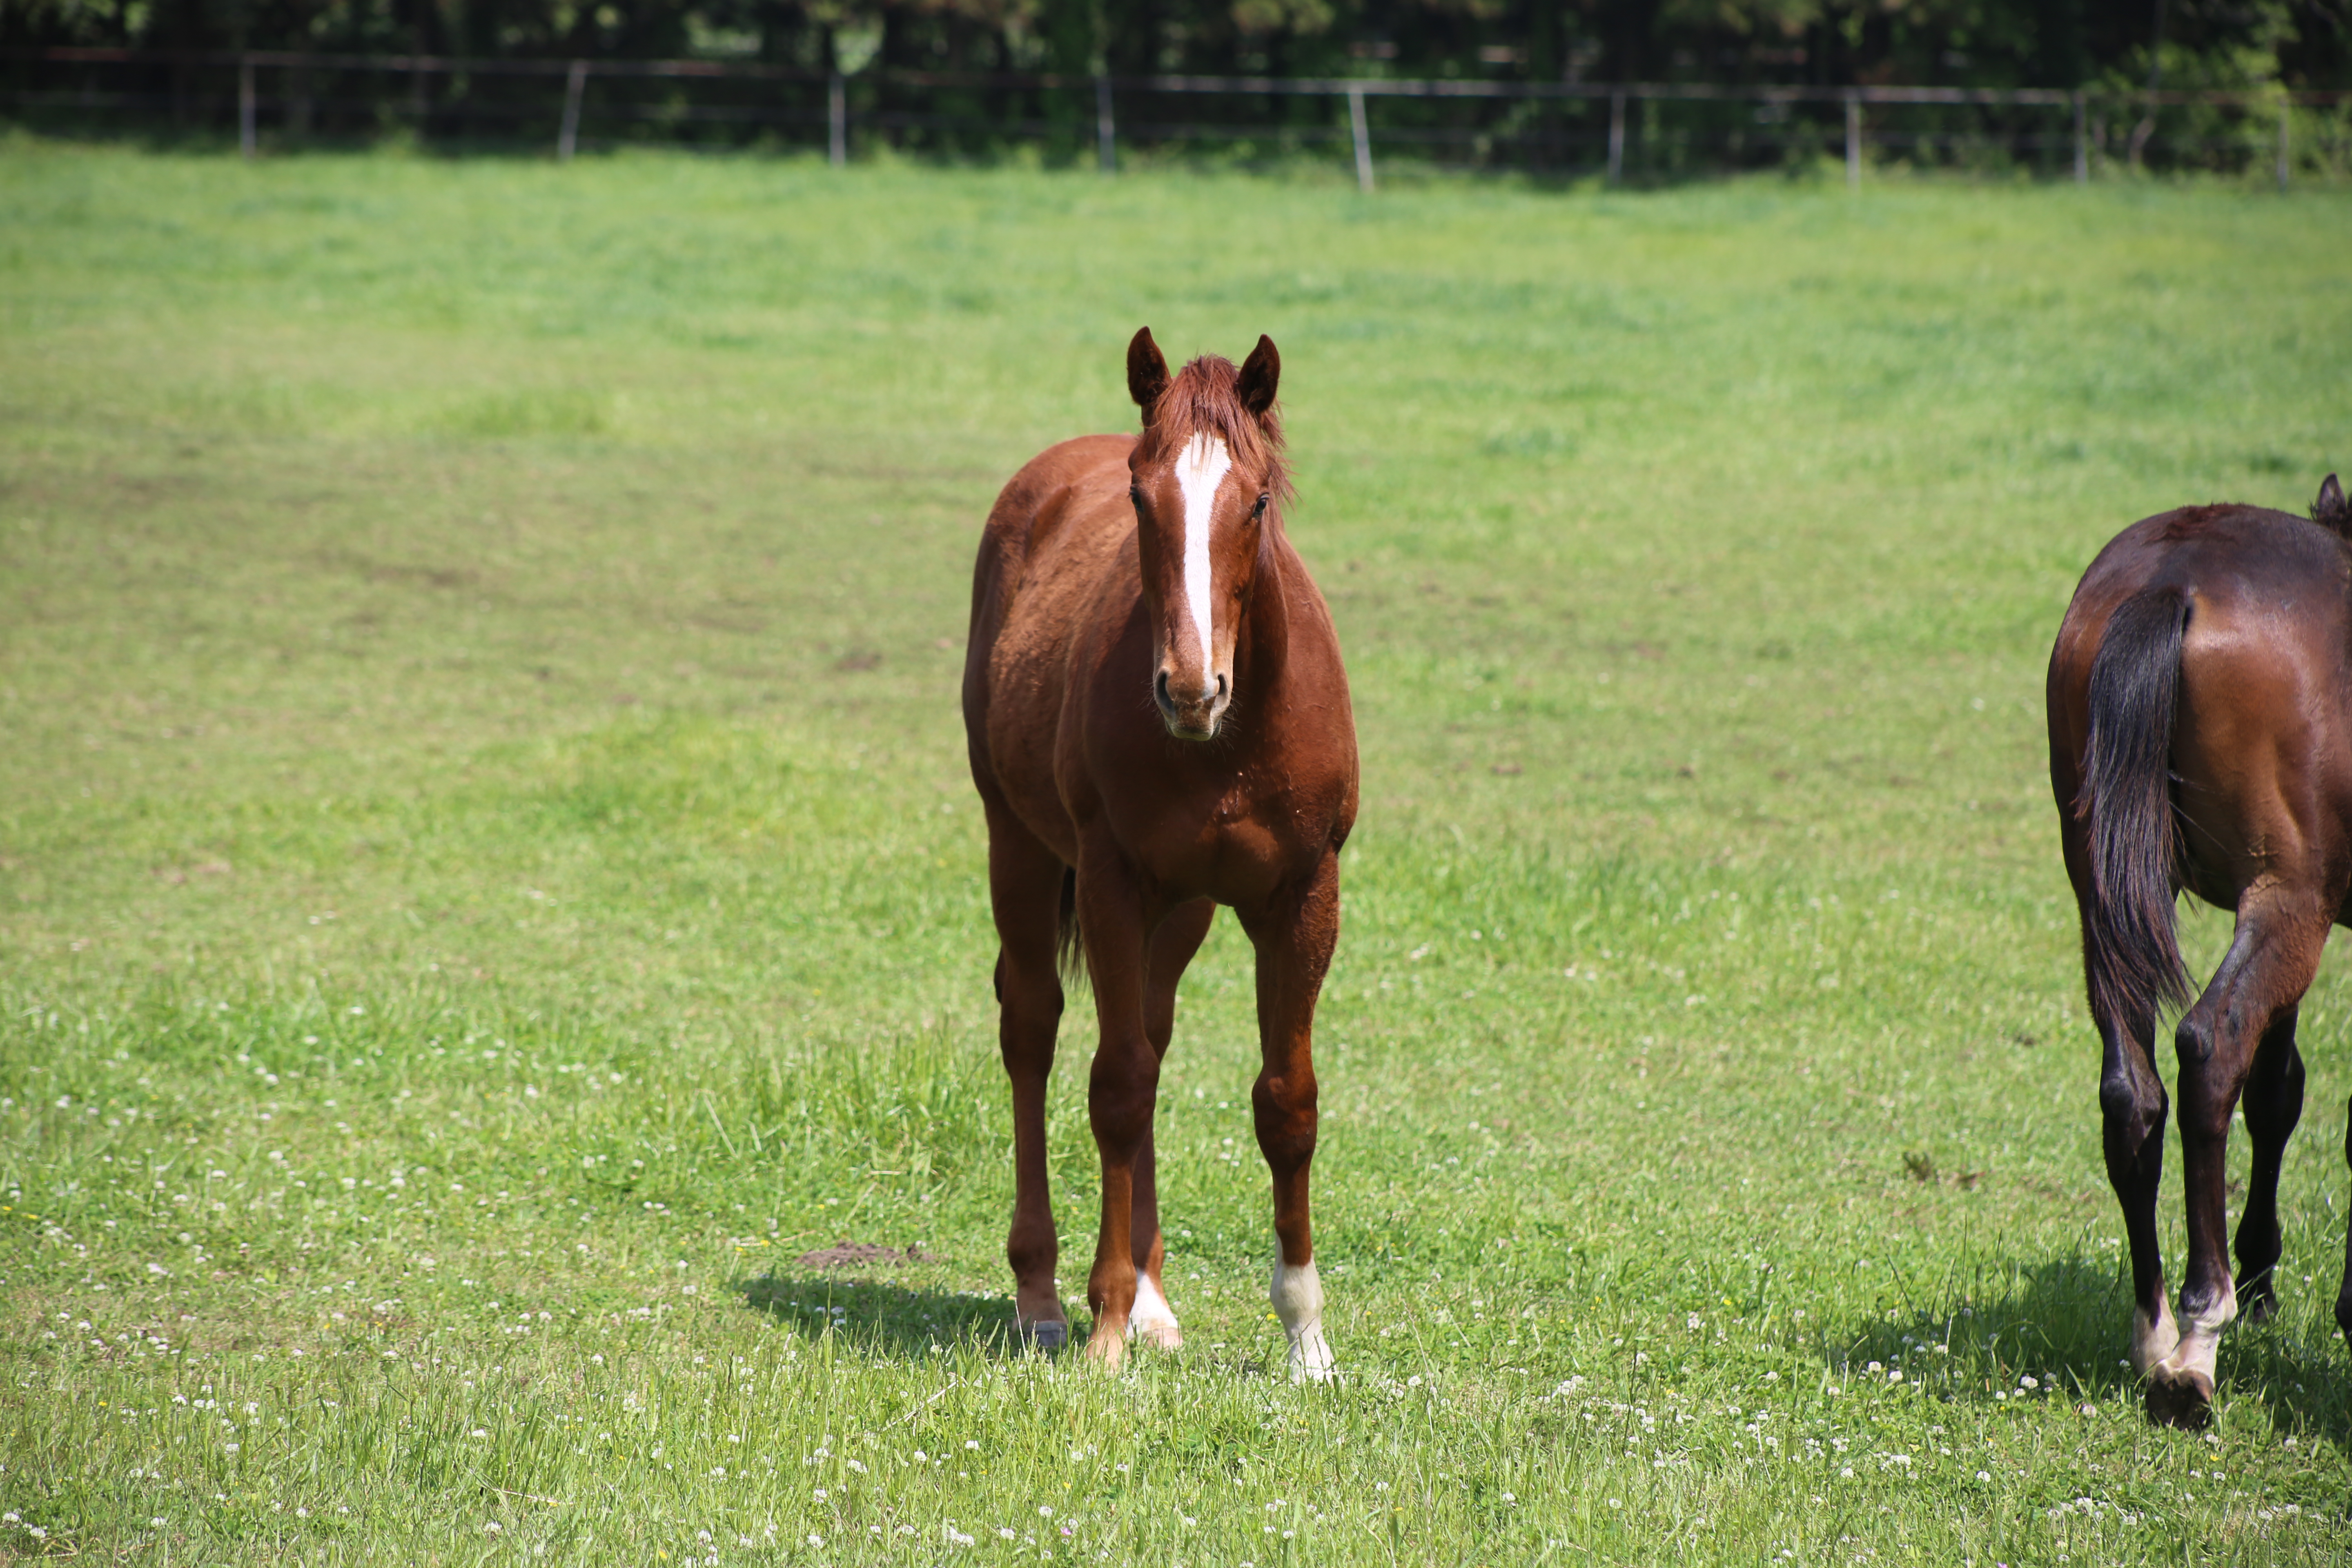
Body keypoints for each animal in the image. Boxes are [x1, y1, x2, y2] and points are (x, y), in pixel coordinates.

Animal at [960, 329, 1364, 1373]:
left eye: (1255, 501)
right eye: (1141, 499)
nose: (1189, 686)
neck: (1229, 743)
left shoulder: (1304, 895)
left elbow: (1286, 1102)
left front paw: (1306, 1335)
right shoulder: (1108, 881)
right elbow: (1116, 1084)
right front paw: (1102, 1326)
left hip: (1180, 910)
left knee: (1149, 1028)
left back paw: (1153, 1299)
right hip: (1018, 846)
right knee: (1034, 1031)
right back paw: (1041, 1294)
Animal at [2041, 472, 2352, 1429]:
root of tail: (2171, 582)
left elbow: (2279, 1088)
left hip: (2105, 890)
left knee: (2133, 1090)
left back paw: (2153, 1331)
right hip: (2289, 902)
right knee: (2212, 1048)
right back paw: (2197, 1339)